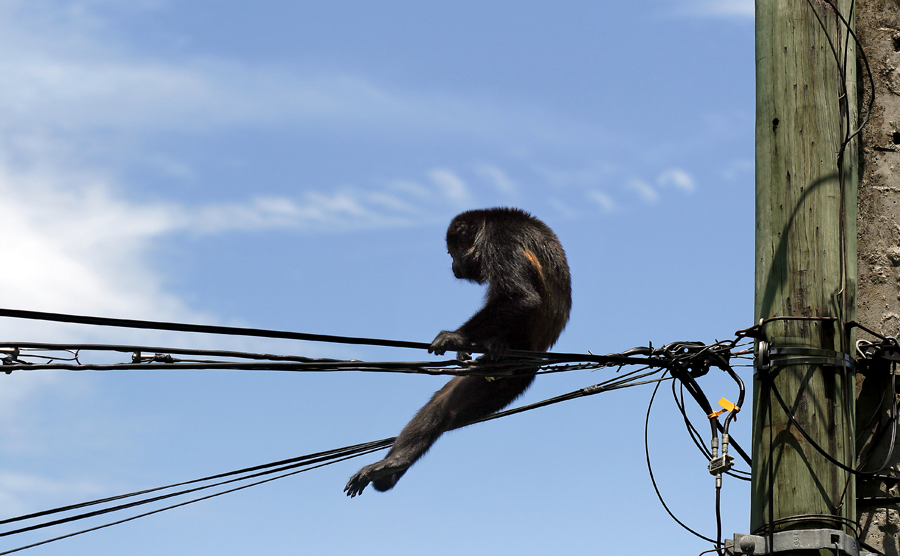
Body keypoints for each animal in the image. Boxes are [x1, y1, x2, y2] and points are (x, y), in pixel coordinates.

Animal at [344, 207, 568, 496]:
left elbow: (521, 297)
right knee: (444, 409)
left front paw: (456, 337)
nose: (451, 265)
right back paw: (394, 465)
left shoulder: (500, 240)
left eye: (452, 253)